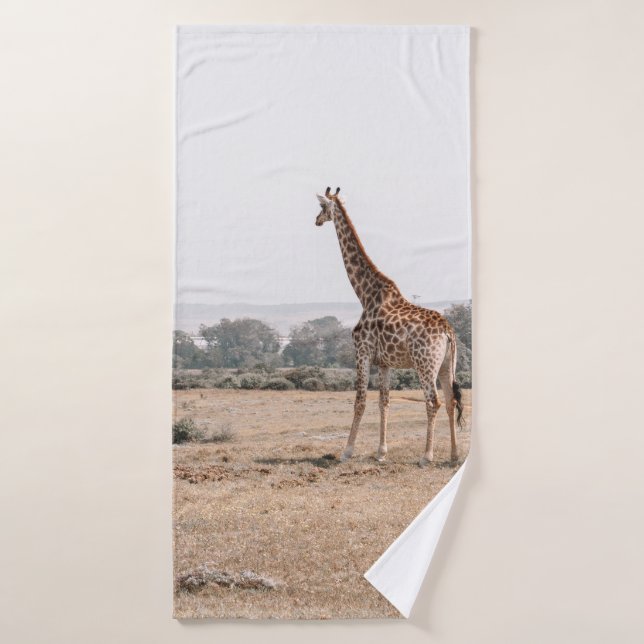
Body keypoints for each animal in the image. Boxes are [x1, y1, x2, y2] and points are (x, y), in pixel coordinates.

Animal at [315, 187, 464, 467]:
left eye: (321, 207)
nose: (316, 220)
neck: (365, 294)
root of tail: (448, 332)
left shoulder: (361, 352)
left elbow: (360, 401)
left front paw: (346, 451)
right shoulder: (384, 362)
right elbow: (384, 401)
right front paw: (381, 452)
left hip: (425, 364)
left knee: (433, 402)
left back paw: (426, 456)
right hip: (447, 364)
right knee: (451, 401)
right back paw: (453, 455)